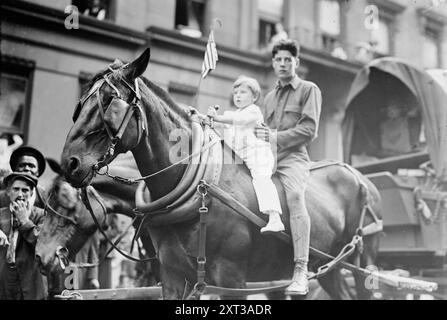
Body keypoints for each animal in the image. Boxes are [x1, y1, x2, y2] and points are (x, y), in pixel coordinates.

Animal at [57, 48, 384, 298]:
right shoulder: (171, 274)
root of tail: (363, 180)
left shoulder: (230, 278)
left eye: (109, 103)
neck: (201, 188)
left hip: (362, 264)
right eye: (81, 103)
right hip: (330, 269)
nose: (69, 162)